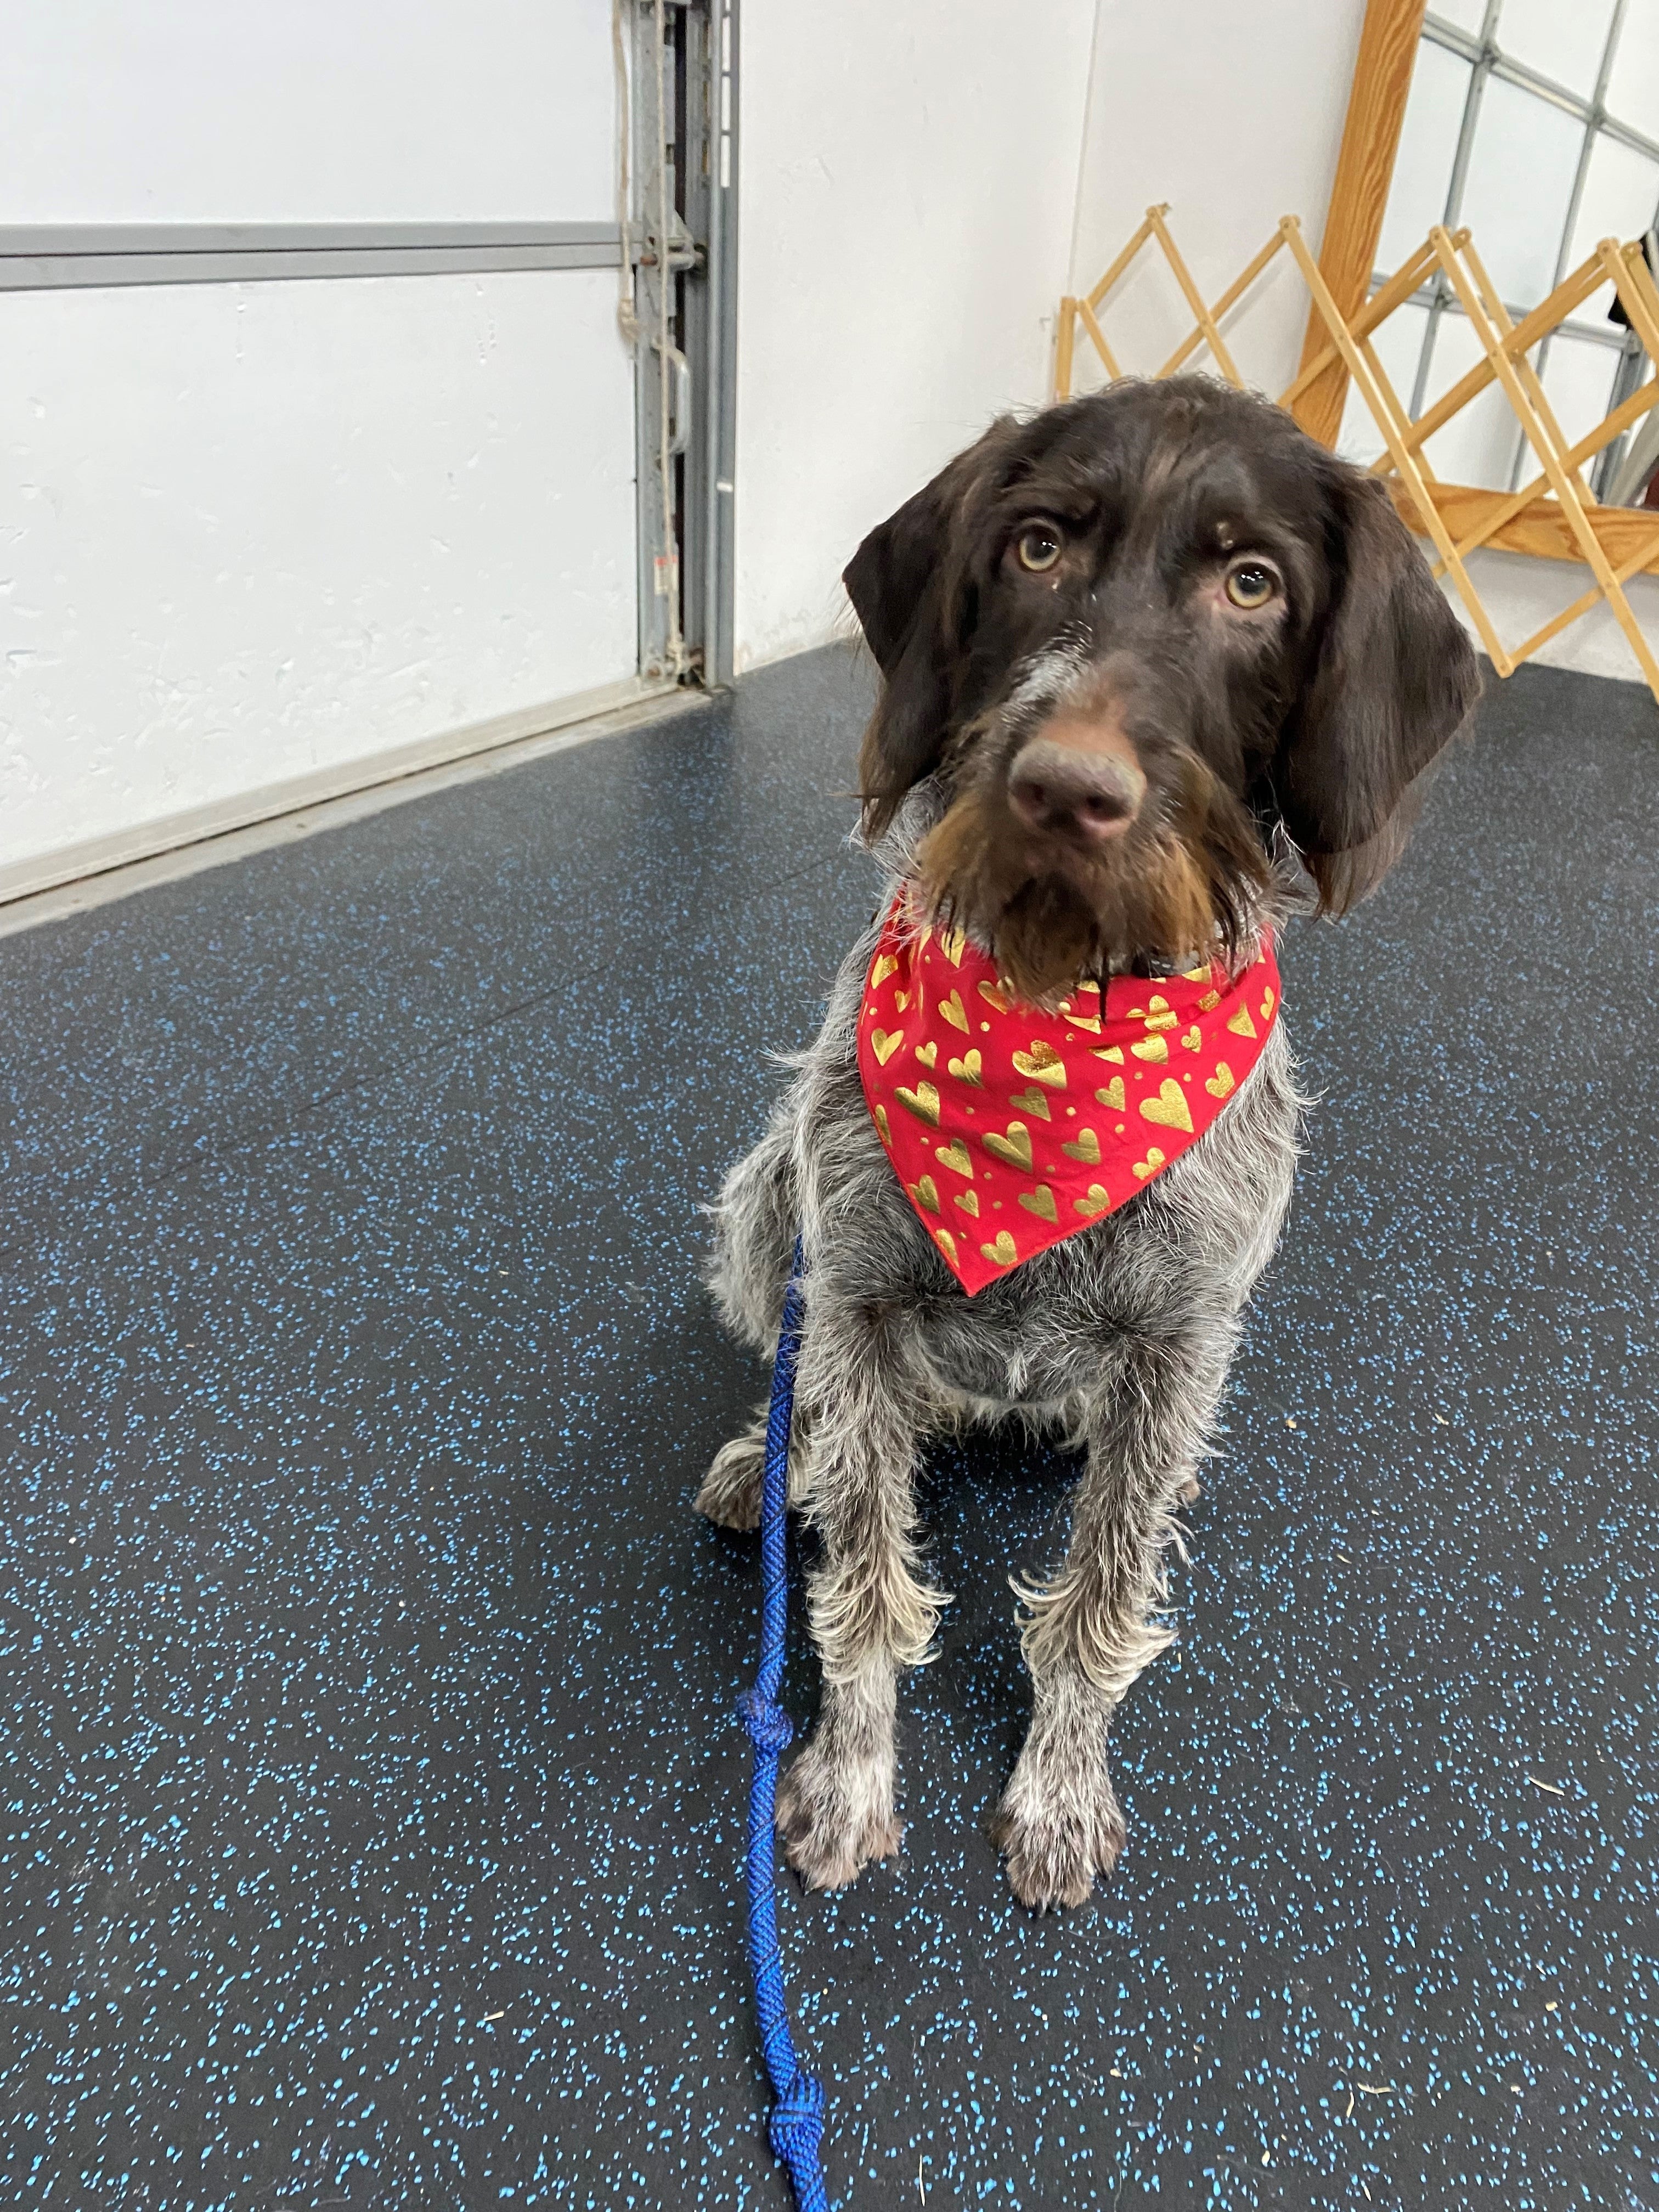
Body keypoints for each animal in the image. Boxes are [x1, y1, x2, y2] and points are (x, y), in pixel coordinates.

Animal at [699, 376, 1477, 1902]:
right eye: (1039, 547)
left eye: (1253, 585)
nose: (1066, 788)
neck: (1059, 1014)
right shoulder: (857, 1298)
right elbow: (863, 1578)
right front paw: (851, 1771)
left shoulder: (1179, 1348)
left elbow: (1101, 1601)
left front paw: (1059, 1786)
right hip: (769, 1205)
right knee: (809, 1396)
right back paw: (768, 1459)